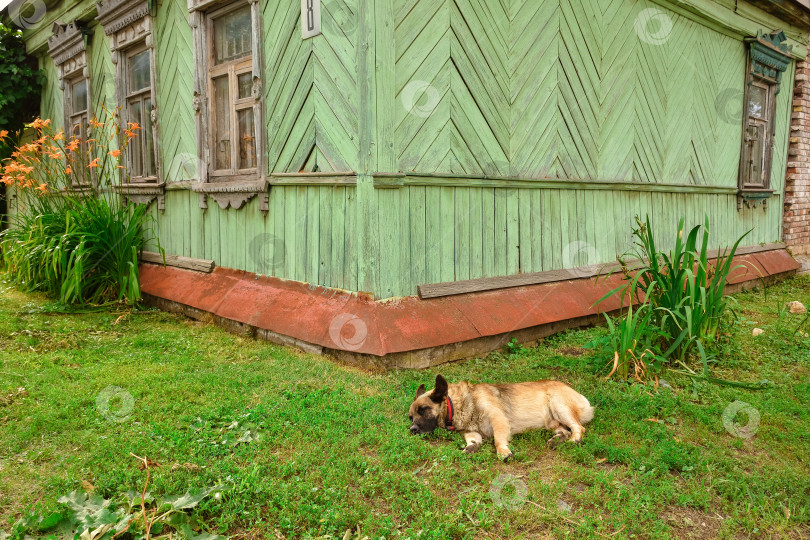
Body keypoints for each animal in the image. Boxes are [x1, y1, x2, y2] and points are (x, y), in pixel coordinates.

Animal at [408, 376, 592, 460]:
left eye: (423, 410)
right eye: (411, 417)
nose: (412, 430)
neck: (458, 403)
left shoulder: (498, 419)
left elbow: (498, 439)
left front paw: (503, 451)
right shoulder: (471, 432)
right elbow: (473, 441)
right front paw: (471, 447)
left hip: (559, 406)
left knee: (578, 427)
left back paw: (575, 439)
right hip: (552, 422)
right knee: (564, 431)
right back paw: (557, 439)